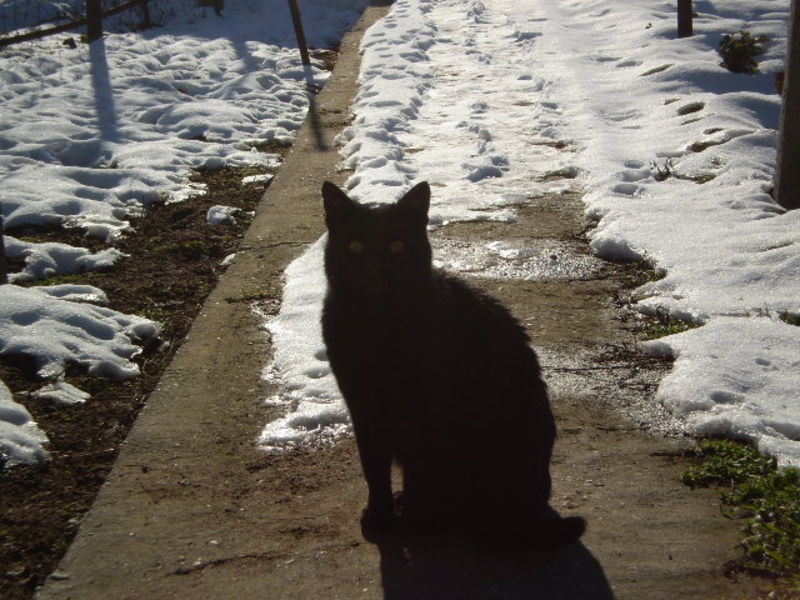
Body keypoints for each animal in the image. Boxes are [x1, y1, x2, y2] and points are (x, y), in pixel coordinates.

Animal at [320, 180, 585, 551]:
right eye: (355, 245)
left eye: (397, 245)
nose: (374, 269)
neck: (380, 324)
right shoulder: (362, 406)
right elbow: (373, 466)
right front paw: (380, 516)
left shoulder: (426, 412)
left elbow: (417, 470)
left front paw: (412, 520)